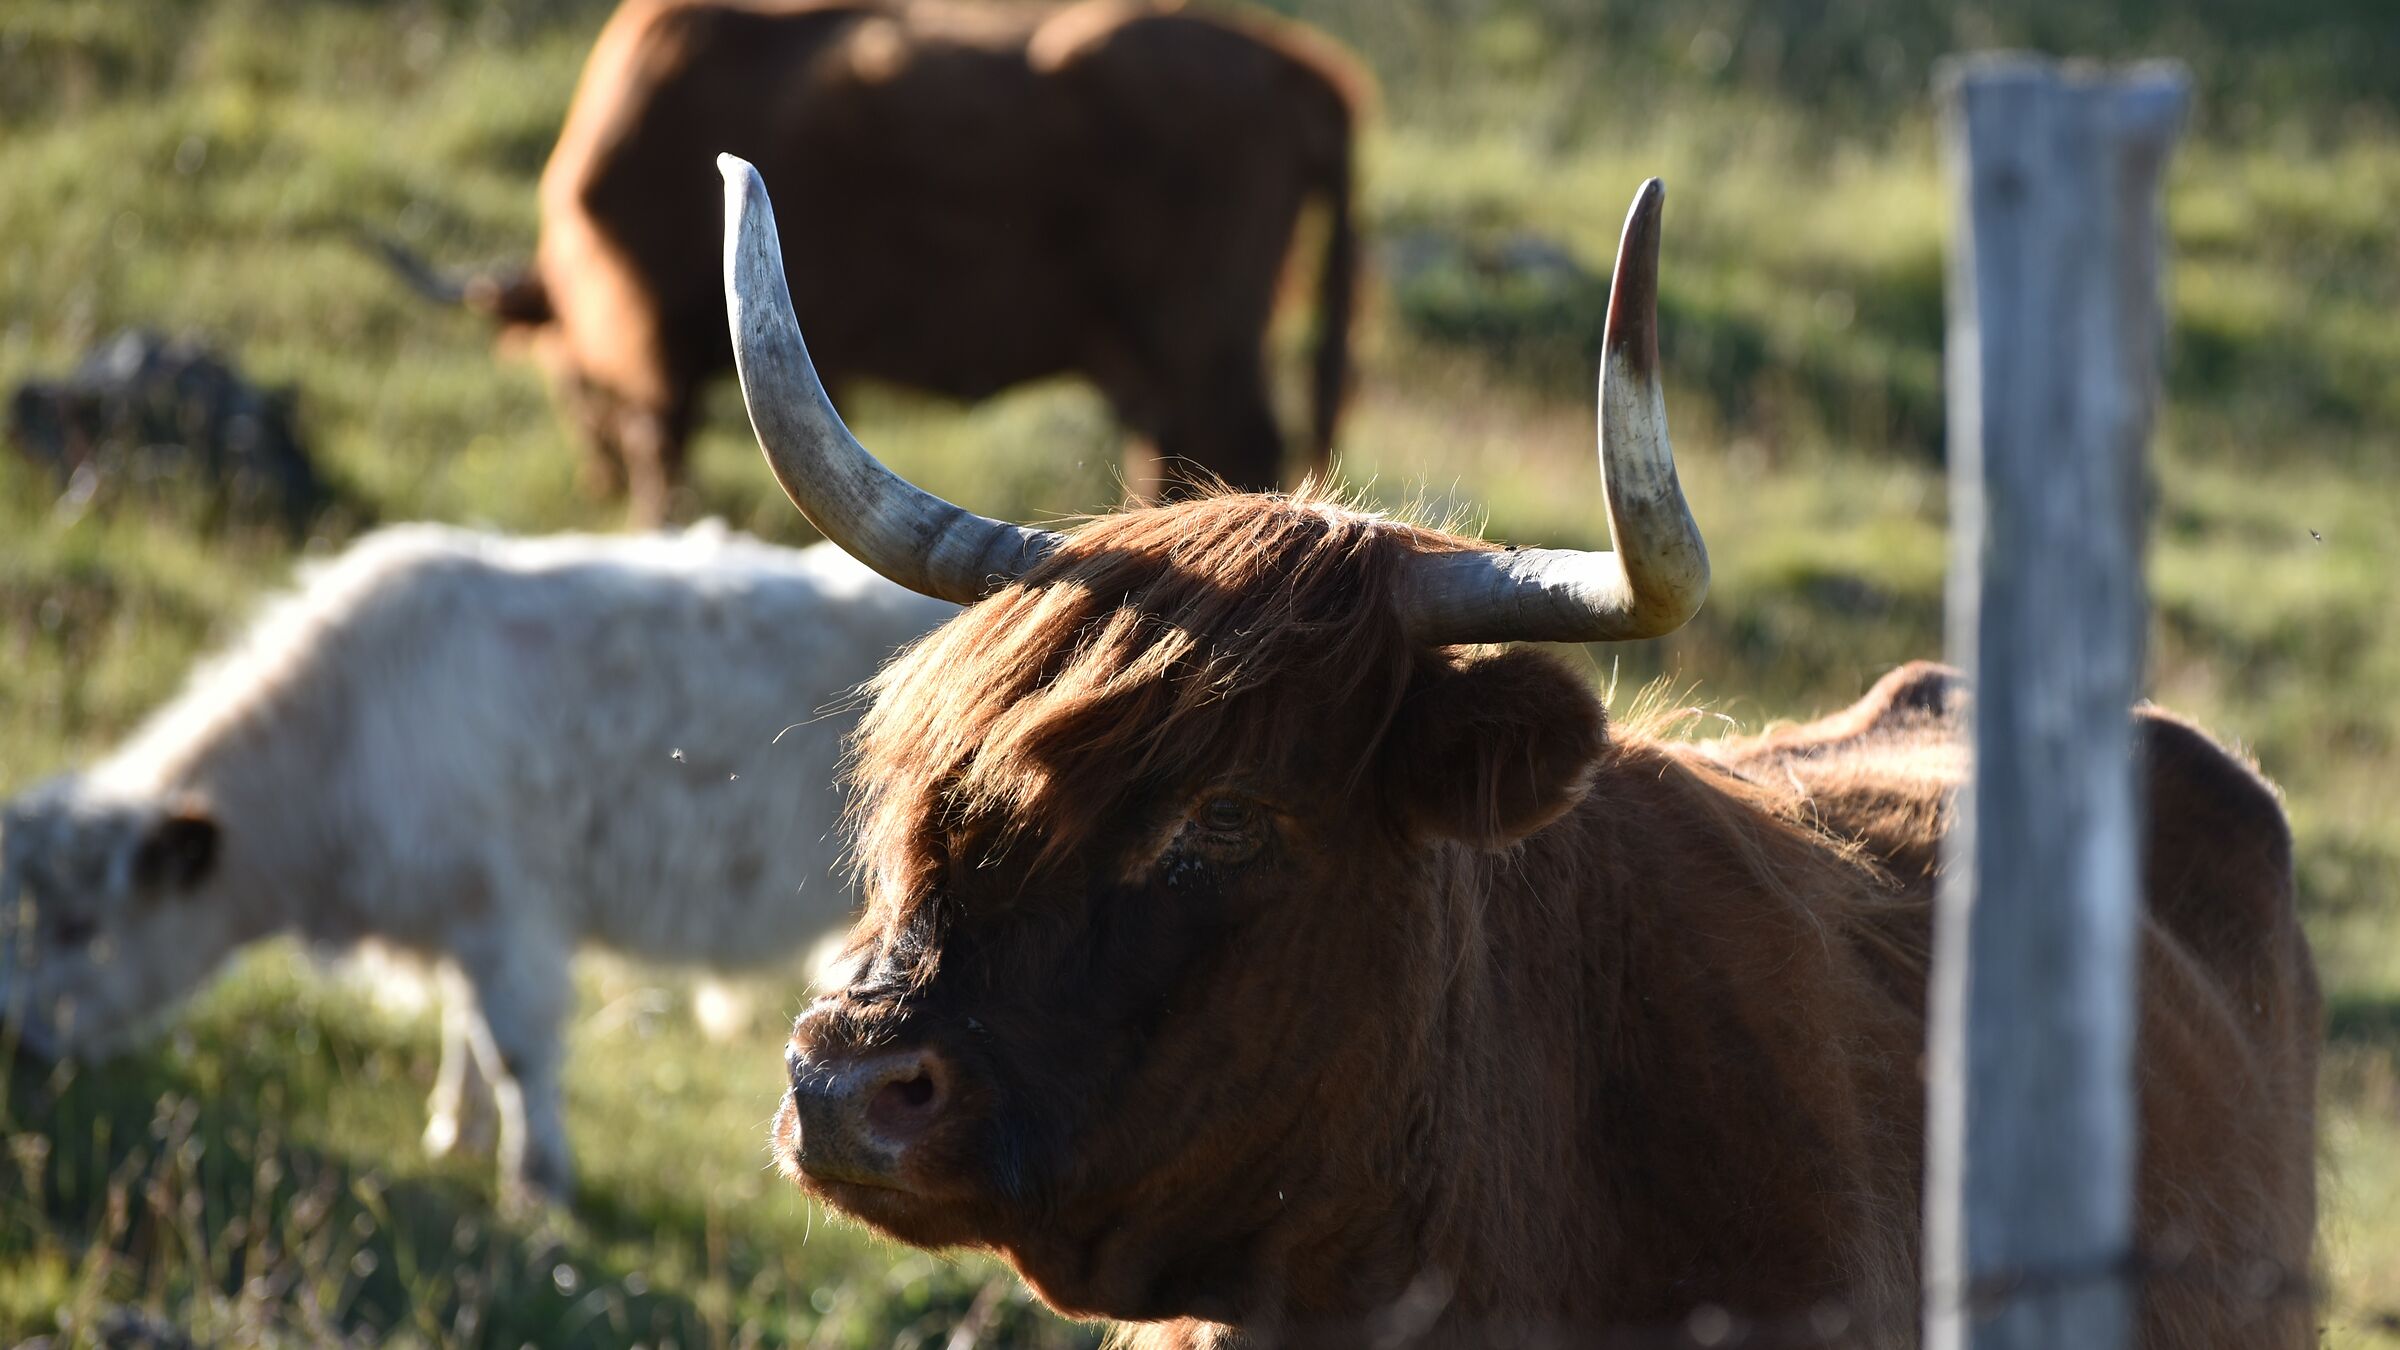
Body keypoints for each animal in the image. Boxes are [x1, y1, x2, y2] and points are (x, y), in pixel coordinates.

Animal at [0, 522, 955, 1203]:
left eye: (81, 925)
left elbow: (516, 1049)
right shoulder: (465, 917)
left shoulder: (508, 912)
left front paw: (539, 1183)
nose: (16, 1041)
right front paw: (454, 1134)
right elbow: (465, 1029)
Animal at [382, 0, 1364, 526]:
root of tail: (1296, 68)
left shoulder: (656, 347)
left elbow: (664, 456)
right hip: (1153, 355)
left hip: (1200, 337)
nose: (594, 481)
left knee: (1237, 445)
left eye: (563, 374)